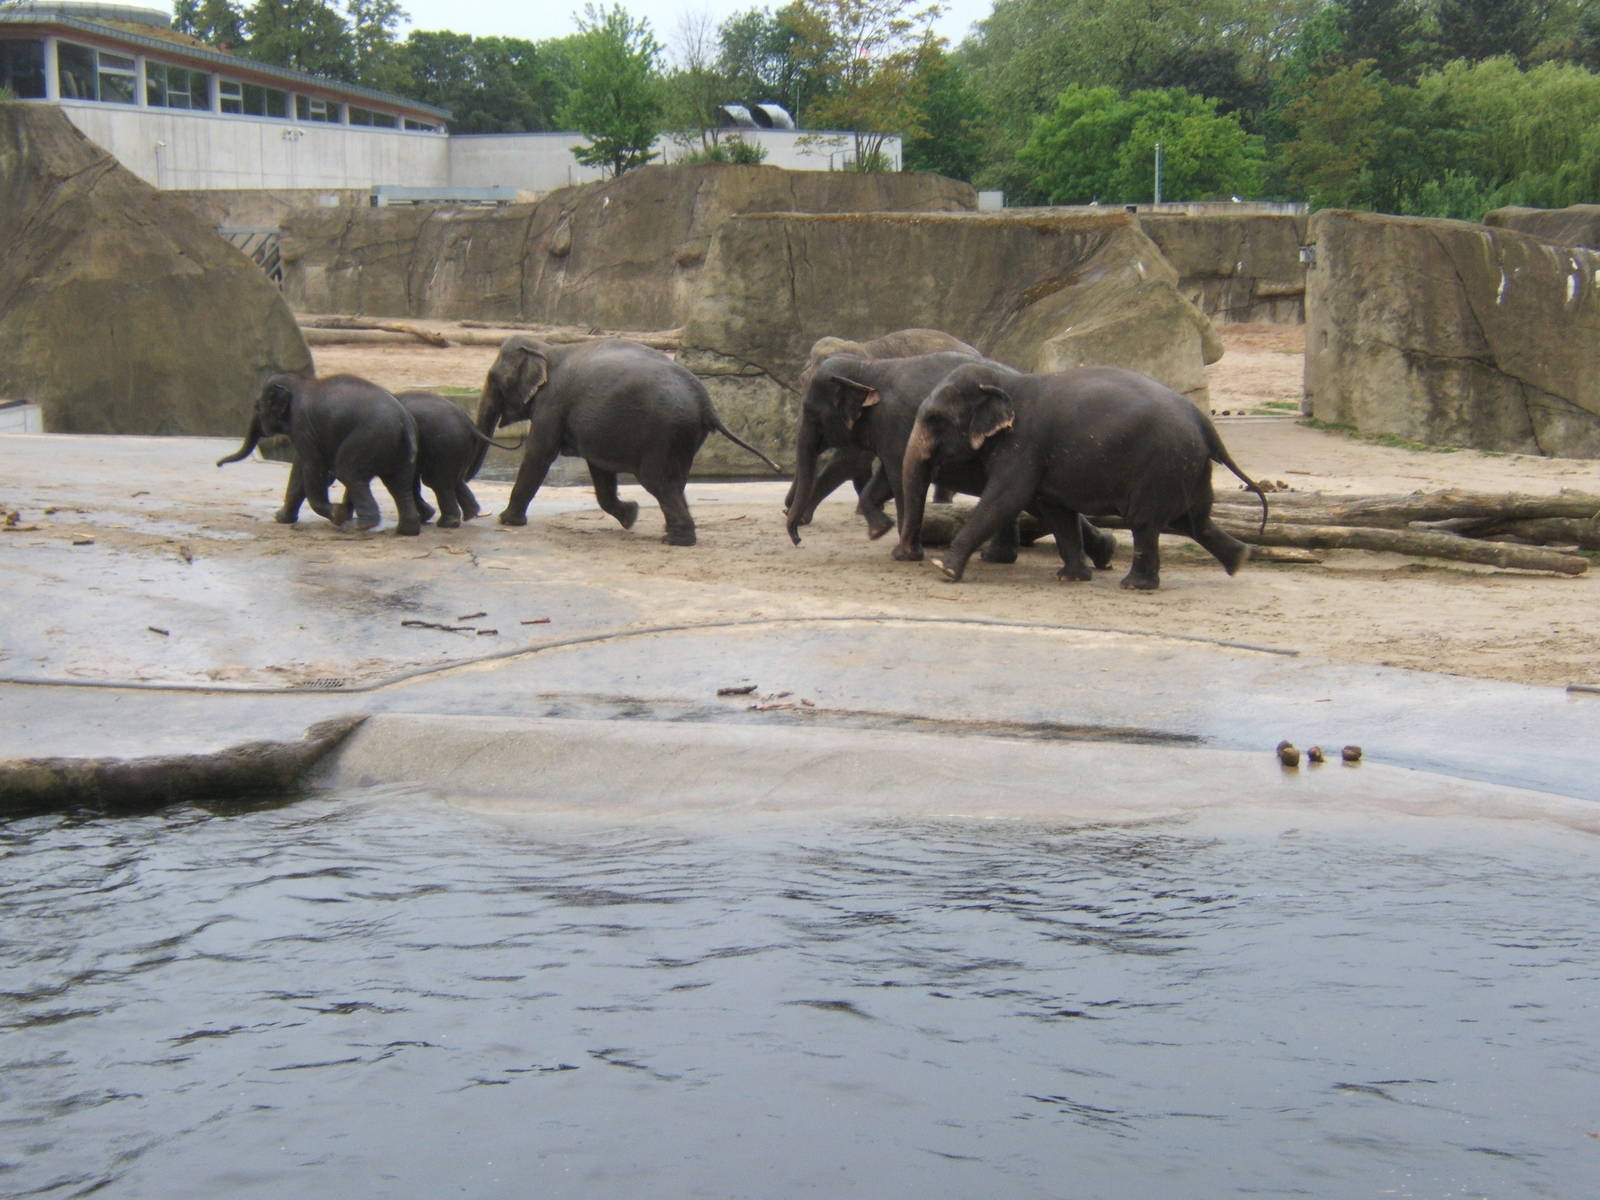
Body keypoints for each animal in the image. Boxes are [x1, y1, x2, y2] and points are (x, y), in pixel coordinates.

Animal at [216, 373, 422, 536]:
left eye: (257, 406)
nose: (219, 464)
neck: (298, 381)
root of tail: (404, 418)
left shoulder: (302, 424)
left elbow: (312, 468)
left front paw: (338, 515)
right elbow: (299, 469)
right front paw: (281, 518)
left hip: (369, 438)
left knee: (348, 472)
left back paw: (354, 526)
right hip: (398, 449)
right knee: (399, 484)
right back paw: (406, 530)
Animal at [477, 336, 782, 545]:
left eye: (492, 379)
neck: (547, 349)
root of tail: (706, 402)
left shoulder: (551, 404)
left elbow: (539, 454)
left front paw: (507, 521)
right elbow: (600, 471)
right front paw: (630, 516)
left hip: (665, 434)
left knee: (659, 482)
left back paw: (675, 541)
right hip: (684, 437)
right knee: (675, 482)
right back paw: (670, 533)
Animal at [787, 328, 981, 536]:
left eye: (816, 411)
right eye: (800, 379)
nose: (786, 508)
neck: (861, 350)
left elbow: (853, 458)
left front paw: (802, 518)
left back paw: (941, 504)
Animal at [788, 351, 1116, 572]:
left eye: (810, 410)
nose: (798, 540)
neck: (869, 367)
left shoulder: (893, 425)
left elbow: (898, 478)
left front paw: (902, 551)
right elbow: (887, 479)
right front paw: (880, 530)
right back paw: (1100, 552)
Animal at [897, 363, 1268, 590]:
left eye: (934, 418)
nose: (909, 555)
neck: (1008, 381)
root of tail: (1205, 424)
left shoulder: (1024, 444)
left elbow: (1005, 498)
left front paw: (943, 568)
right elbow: (1056, 510)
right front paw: (1071, 578)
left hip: (1162, 465)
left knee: (1145, 521)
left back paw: (1135, 585)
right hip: (1187, 468)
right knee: (1193, 521)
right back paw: (1240, 560)